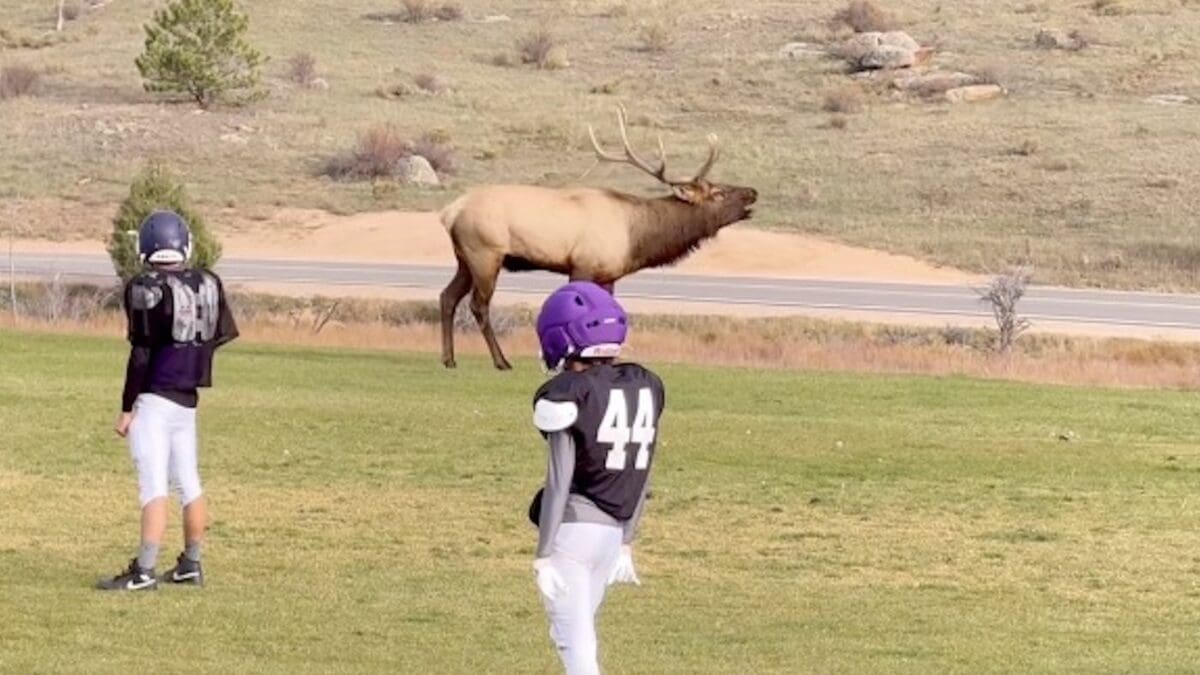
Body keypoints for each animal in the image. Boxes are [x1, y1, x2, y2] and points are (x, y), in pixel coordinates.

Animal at [438, 106, 759, 370]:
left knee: (447, 296)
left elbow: (610, 314)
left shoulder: (609, 274)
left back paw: (449, 359)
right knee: (478, 305)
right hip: (485, 253)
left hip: (464, 258)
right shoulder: (582, 265)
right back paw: (501, 361)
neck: (636, 236)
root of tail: (450, 212)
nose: (753, 191)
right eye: (718, 192)